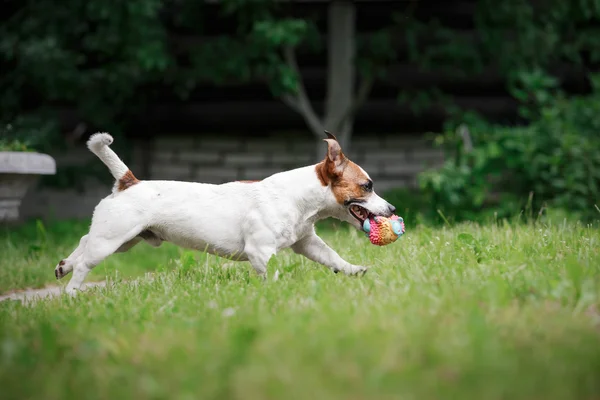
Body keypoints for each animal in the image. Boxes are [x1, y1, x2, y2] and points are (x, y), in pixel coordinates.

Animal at [54, 131, 396, 294]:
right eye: (367, 186)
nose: (392, 209)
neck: (298, 199)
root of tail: (128, 181)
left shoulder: (307, 243)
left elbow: (333, 258)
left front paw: (354, 270)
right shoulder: (259, 252)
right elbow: (267, 275)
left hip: (124, 239)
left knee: (83, 243)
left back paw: (63, 266)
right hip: (113, 239)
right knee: (85, 263)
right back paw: (71, 291)